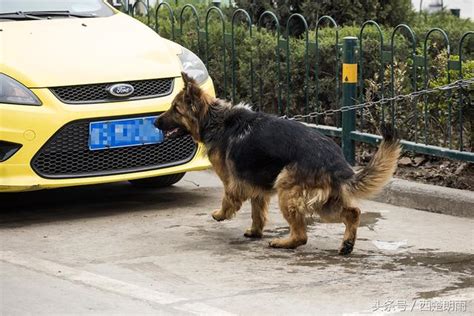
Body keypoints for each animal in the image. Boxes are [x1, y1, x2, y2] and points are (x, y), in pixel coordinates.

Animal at [156, 73, 400, 256]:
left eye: (175, 109)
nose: (155, 122)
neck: (215, 120)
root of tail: (335, 161)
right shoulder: (255, 186)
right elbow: (257, 212)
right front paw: (255, 231)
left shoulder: (234, 184)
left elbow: (228, 200)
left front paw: (220, 214)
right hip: (324, 203)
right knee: (353, 213)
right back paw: (347, 244)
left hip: (287, 189)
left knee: (302, 236)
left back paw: (284, 243)